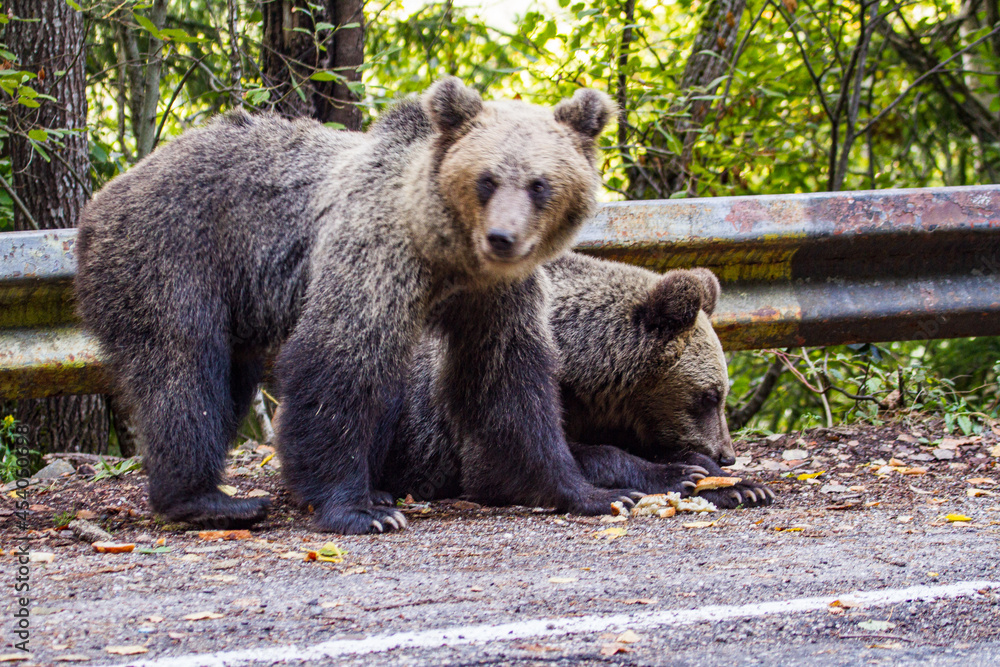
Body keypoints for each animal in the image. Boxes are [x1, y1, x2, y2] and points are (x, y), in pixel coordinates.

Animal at [75, 78, 642, 534]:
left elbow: (507, 382)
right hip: (175, 253)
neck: (448, 256)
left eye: (539, 184)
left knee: (229, 377)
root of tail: (103, 196)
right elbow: (338, 363)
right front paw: (358, 510)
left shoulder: (495, 296)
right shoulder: (374, 249)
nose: (503, 237)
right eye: (486, 179)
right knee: (185, 368)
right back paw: (209, 500)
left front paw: (600, 494)